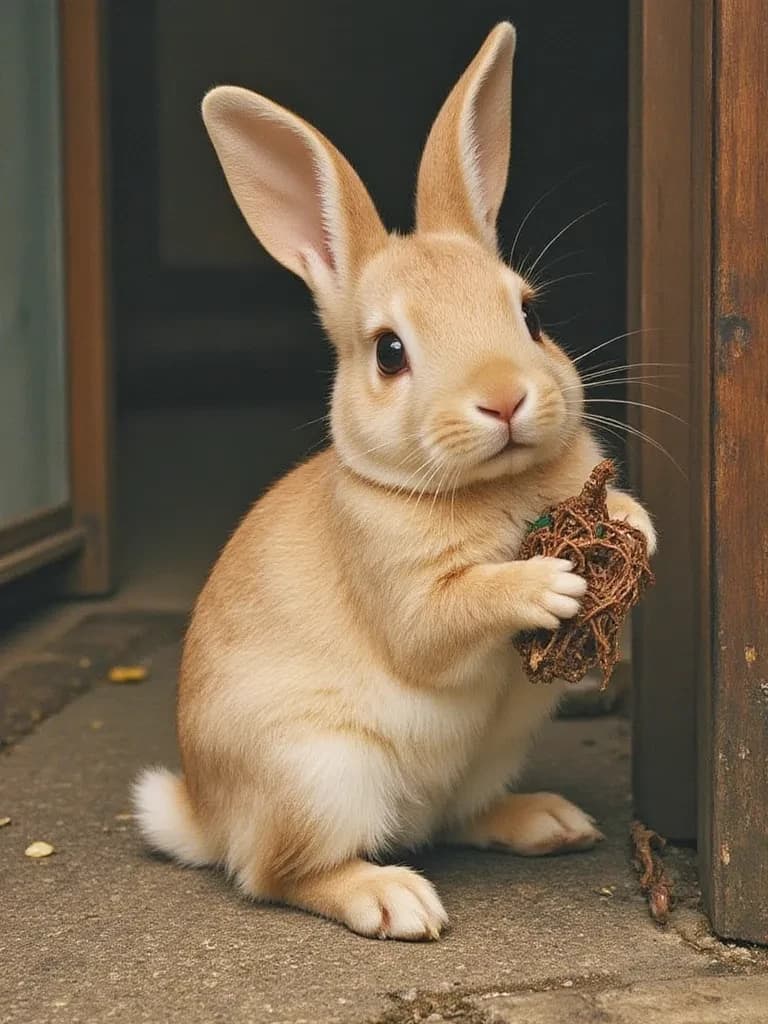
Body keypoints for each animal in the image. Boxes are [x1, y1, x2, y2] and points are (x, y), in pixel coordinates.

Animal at [134, 22, 656, 941]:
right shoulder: (403, 590)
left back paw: (549, 823)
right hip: (319, 778)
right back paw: (394, 900)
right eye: (388, 352)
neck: (494, 487)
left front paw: (642, 528)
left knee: (450, 820)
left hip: (484, 758)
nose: (505, 398)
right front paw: (550, 584)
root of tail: (207, 816)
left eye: (531, 314)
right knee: (279, 874)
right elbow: (445, 616)